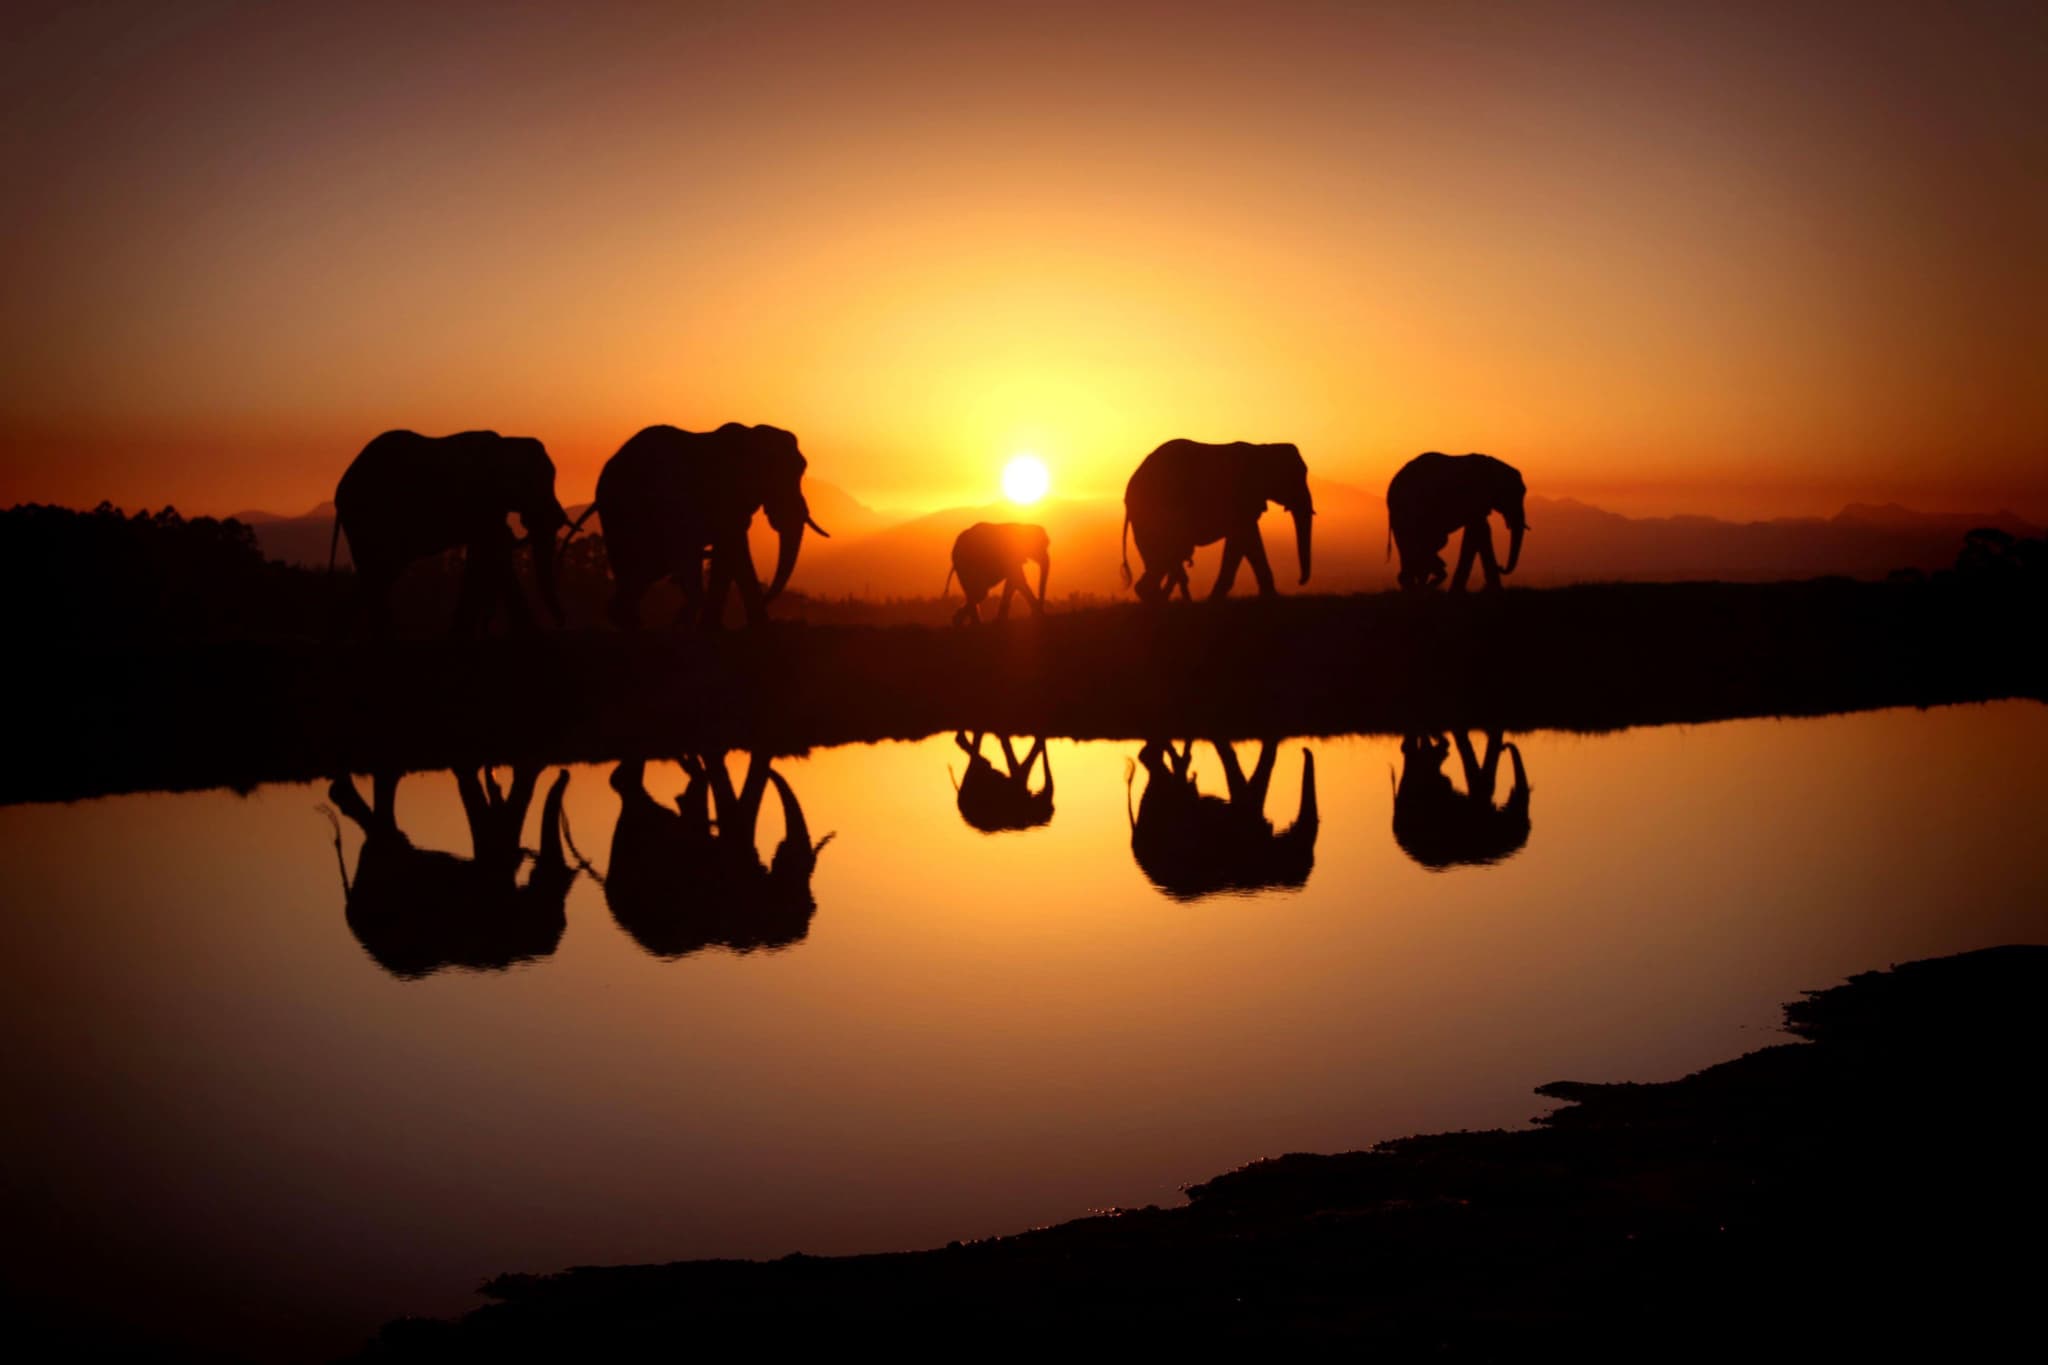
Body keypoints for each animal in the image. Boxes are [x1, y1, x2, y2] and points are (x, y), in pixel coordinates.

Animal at [329, 429, 569, 638]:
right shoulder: (481, 500)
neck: (506, 442)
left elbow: (485, 553)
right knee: (378, 573)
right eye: (535, 483)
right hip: (370, 519)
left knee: (375, 576)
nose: (560, 623)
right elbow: (494, 549)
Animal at [581, 421, 827, 630]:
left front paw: (715, 627)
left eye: (802, 469)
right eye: (773, 475)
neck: (749, 436)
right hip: (621, 512)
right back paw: (634, 623)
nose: (769, 600)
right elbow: (735, 545)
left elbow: (728, 551)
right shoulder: (722, 494)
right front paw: (758, 626)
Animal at [1122, 444, 1310, 601]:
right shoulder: (1239, 498)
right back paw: (1155, 598)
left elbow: (1246, 542)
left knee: (1161, 558)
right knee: (1163, 556)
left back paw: (1156, 597)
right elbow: (1243, 540)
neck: (1262, 449)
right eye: (1296, 477)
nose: (1299, 581)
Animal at [1384, 454, 1531, 593]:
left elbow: (1479, 532)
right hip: (1406, 514)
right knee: (1418, 546)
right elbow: (1479, 531)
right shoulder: (1474, 497)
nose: (1501, 566)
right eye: (1512, 494)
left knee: (1421, 547)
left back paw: (1418, 585)